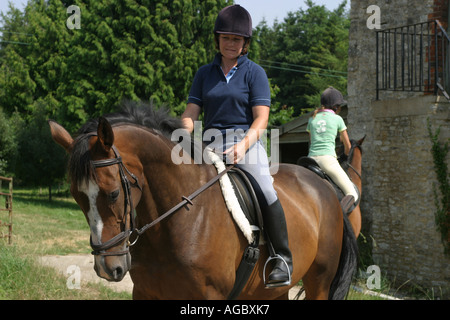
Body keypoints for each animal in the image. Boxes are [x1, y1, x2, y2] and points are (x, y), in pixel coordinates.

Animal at [49, 102, 358, 300]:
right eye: (77, 197)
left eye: (113, 193)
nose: (107, 268)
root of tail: (323, 185)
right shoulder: (146, 293)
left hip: (319, 281)